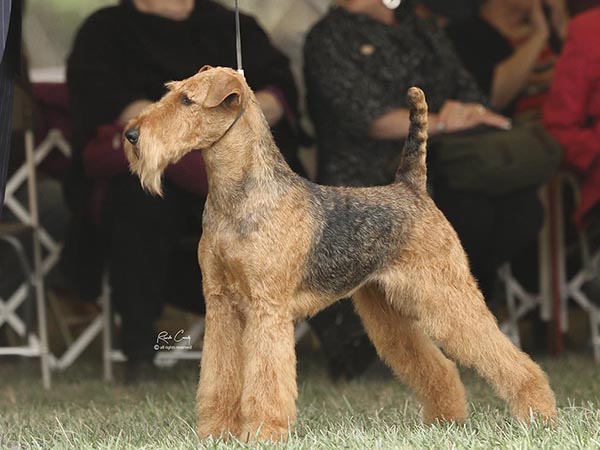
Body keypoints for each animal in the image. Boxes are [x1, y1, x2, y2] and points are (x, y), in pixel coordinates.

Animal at [123, 65, 556, 442]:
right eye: (171, 92)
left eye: (187, 100)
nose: (130, 133)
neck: (238, 198)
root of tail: (410, 187)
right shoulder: (221, 305)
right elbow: (219, 377)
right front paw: (216, 434)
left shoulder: (267, 310)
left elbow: (266, 380)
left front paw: (263, 433)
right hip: (388, 311)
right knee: (441, 367)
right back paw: (446, 421)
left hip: (445, 294)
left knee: (506, 356)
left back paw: (539, 414)